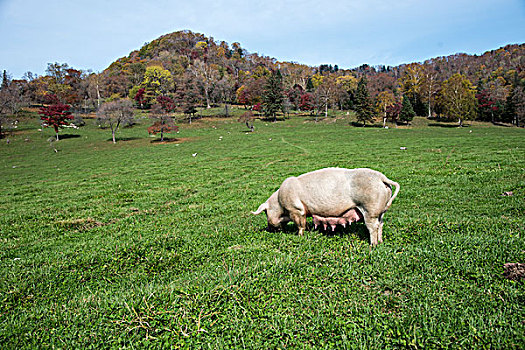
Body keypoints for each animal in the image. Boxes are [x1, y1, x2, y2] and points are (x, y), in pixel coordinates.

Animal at [252, 167, 400, 245]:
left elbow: (300, 225)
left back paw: (373, 245)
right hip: (381, 211)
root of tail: (381, 178)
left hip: (370, 209)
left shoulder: (297, 210)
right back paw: (380, 242)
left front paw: (299, 236)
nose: (269, 228)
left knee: (373, 227)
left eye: (265, 212)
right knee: (381, 225)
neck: (280, 204)